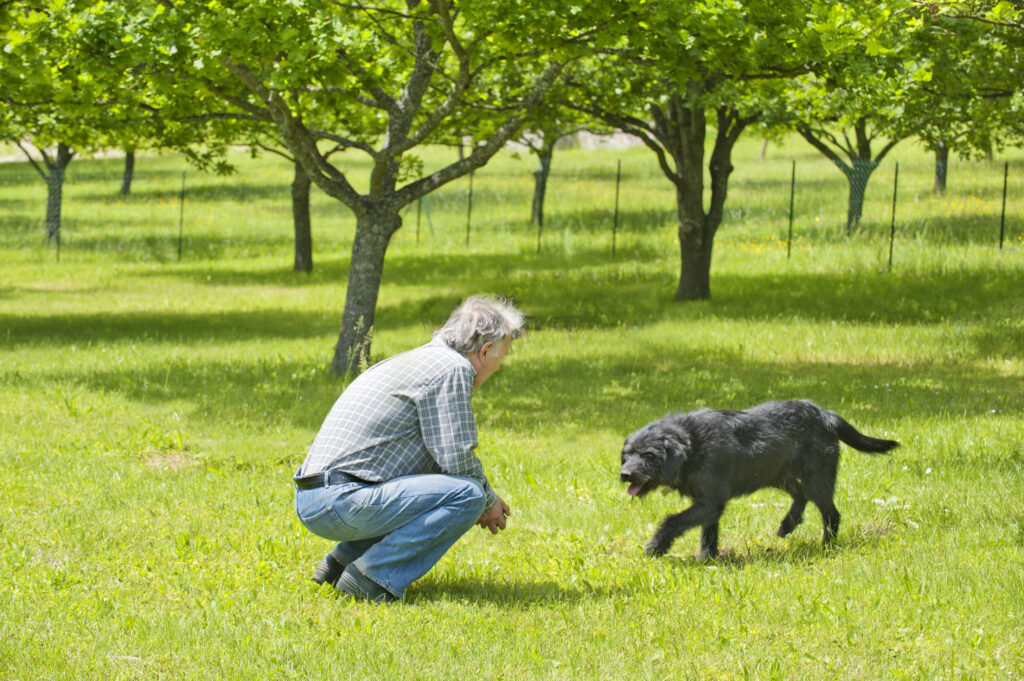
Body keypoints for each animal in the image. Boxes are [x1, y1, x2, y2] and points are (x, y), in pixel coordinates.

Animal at [614, 399, 897, 557]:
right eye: (627, 454)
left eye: (649, 454)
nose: (624, 475)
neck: (692, 444)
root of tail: (826, 415)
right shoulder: (709, 504)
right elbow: (708, 531)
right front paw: (708, 558)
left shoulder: (710, 501)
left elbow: (673, 520)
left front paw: (656, 546)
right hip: (781, 475)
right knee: (801, 496)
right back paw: (788, 524)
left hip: (818, 479)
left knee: (831, 513)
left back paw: (826, 546)